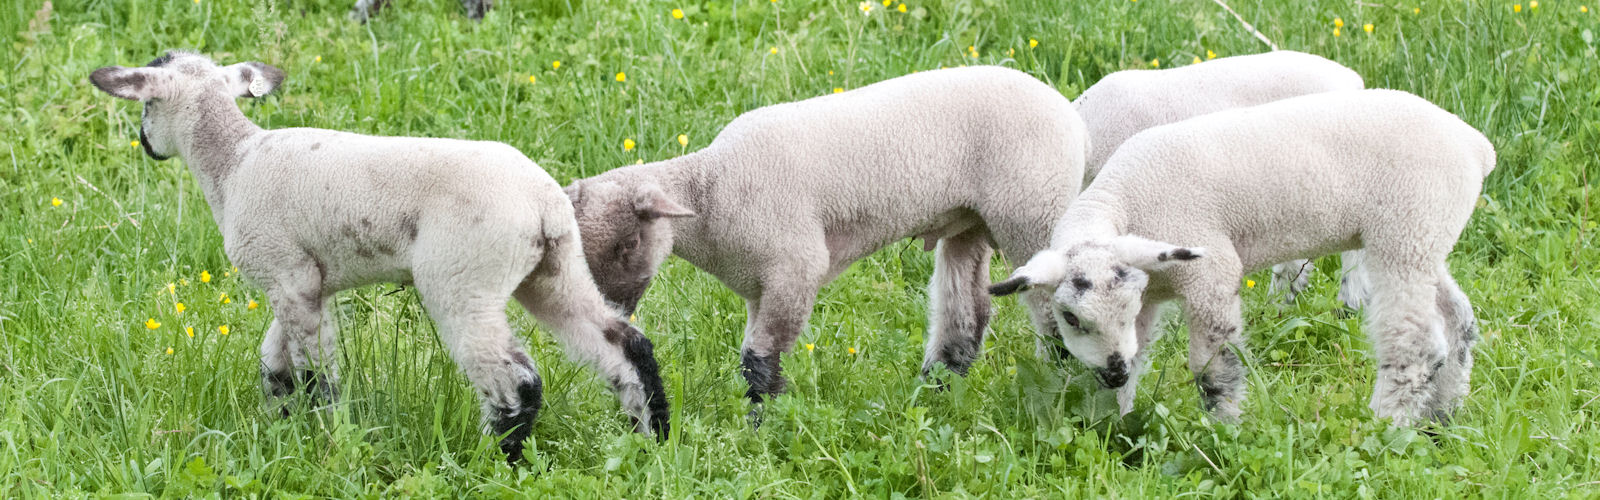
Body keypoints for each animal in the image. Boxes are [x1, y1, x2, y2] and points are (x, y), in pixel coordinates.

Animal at [89, 49, 668, 461]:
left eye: (145, 104)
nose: (146, 144)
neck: (233, 163)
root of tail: (543, 207)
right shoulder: (303, 280)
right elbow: (274, 362)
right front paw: (281, 425)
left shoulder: (287, 273)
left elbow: (316, 372)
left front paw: (326, 433)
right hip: (554, 269)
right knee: (622, 343)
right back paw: (651, 437)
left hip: (463, 277)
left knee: (515, 377)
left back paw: (499, 457)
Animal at [560, 65, 1088, 410]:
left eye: (628, 245)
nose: (612, 312)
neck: (712, 191)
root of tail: (1070, 114)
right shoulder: (761, 285)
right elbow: (754, 355)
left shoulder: (795, 267)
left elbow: (759, 360)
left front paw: (763, 423)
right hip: (969, 221)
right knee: (967, 315)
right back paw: (934, 393)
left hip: (1031, 209)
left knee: (1051, 301)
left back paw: (1063, 381)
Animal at [992, 88, 1491, 426]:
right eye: (1071, 317)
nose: (1110, 375)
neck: (1123, 202)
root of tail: (1475, 145)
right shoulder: (1146, 294)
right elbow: (1137, 358)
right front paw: (1117, 422)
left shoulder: (1211, 274)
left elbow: (1213, 369)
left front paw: (1223, 427)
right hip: (1425, 238)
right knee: (1459, 322)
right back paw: (1443, 416)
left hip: (1405, 232)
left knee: (1415, 345)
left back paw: (1385, 426)